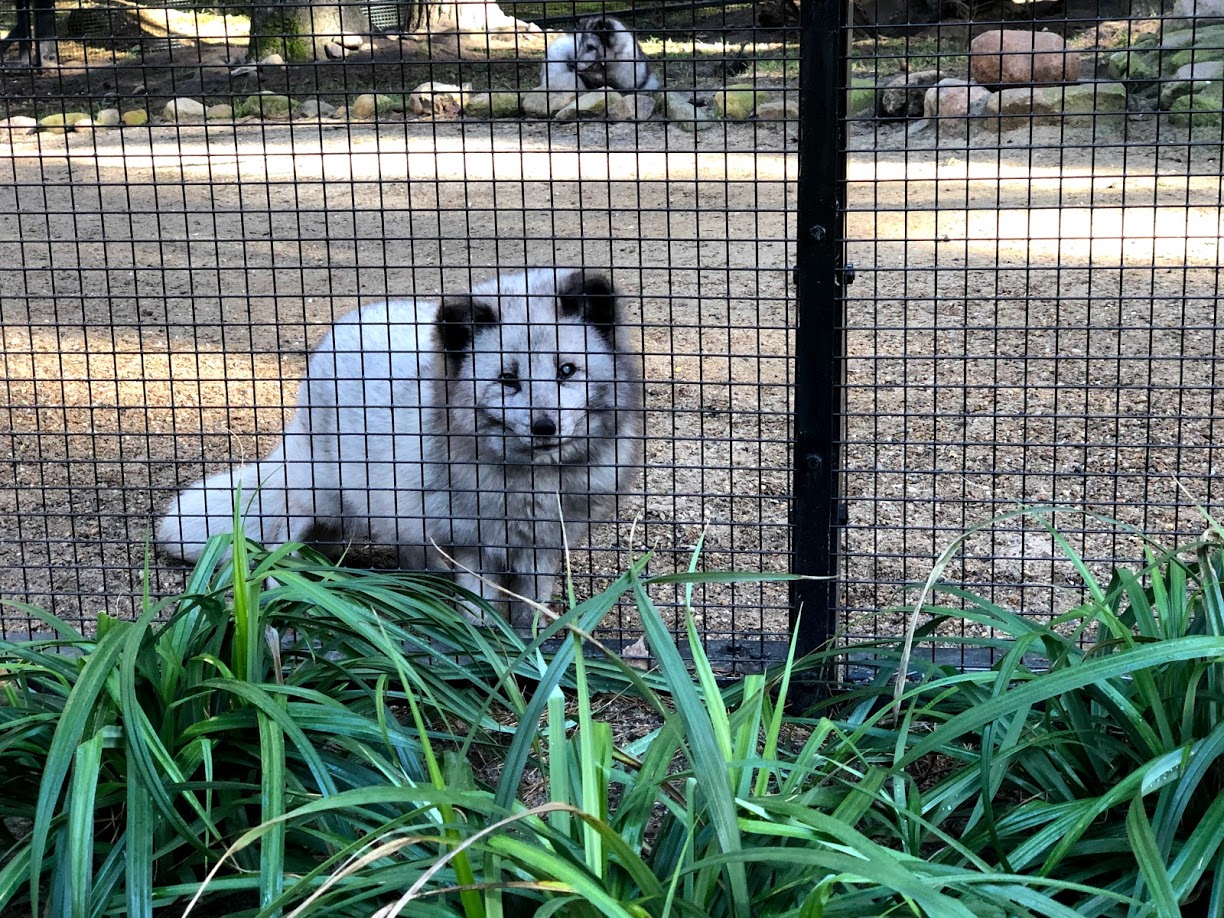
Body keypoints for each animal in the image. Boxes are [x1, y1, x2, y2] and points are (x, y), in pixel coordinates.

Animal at [156, 267, 644, 626]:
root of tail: (352, 320)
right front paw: (488, 652)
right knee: (276, 546)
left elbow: (530, 614)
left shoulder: (542, 549)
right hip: (315, 498)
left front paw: (533, 656)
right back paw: (290, 596)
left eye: (567, 370)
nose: (545, 426)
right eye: (508, 380)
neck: (532, 483)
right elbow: (480, 612)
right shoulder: (473, 547)